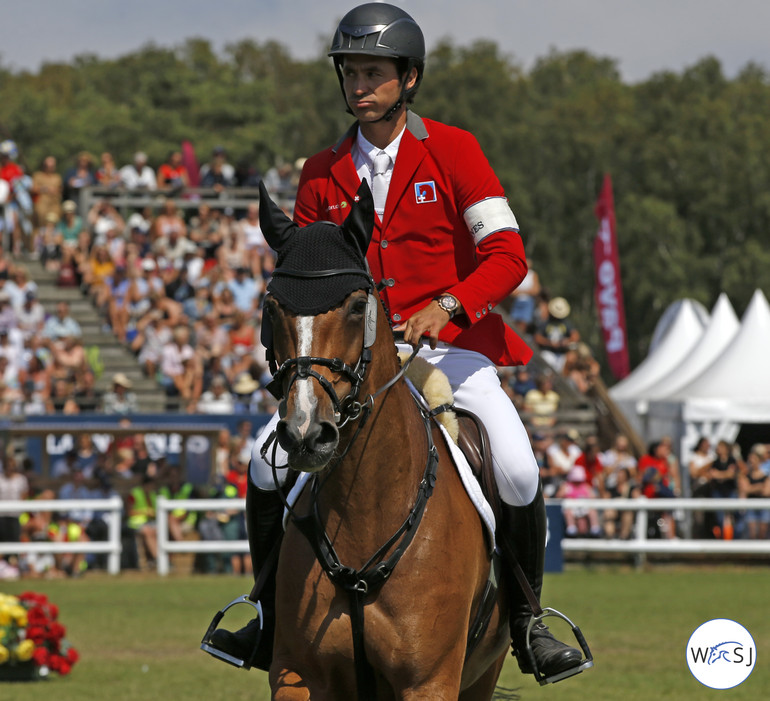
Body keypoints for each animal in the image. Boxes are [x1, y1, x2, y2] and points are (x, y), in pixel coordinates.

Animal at [260, 182, 510, 700]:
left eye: (358, 306)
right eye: (272, 308)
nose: (306, 433)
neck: (366, 511)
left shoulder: (429, 682)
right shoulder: (297, 674)